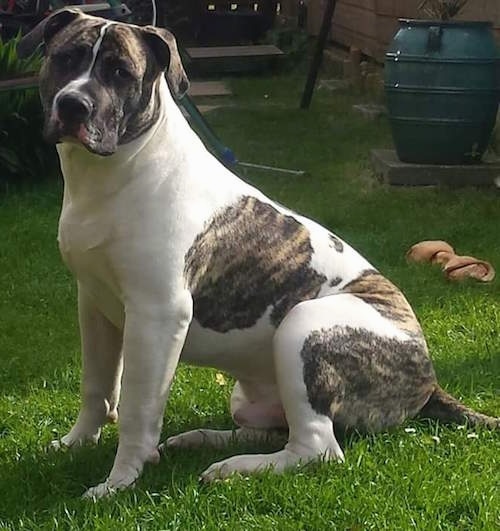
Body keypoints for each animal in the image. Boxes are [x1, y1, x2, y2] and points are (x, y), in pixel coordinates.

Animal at [17, 8, 498, 498]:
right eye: (66, 58)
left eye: (120, 72)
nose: (74, 106)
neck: (114, 173)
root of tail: (430, 379)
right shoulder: (94, 304)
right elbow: (96, 386)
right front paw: (76, 442)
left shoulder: (157, 315)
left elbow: (137, 407)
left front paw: (118, 482)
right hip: (251, 395)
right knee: (272, 429)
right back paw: (201, 440)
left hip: (304, 326)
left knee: (316, 448)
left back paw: (232, 467)